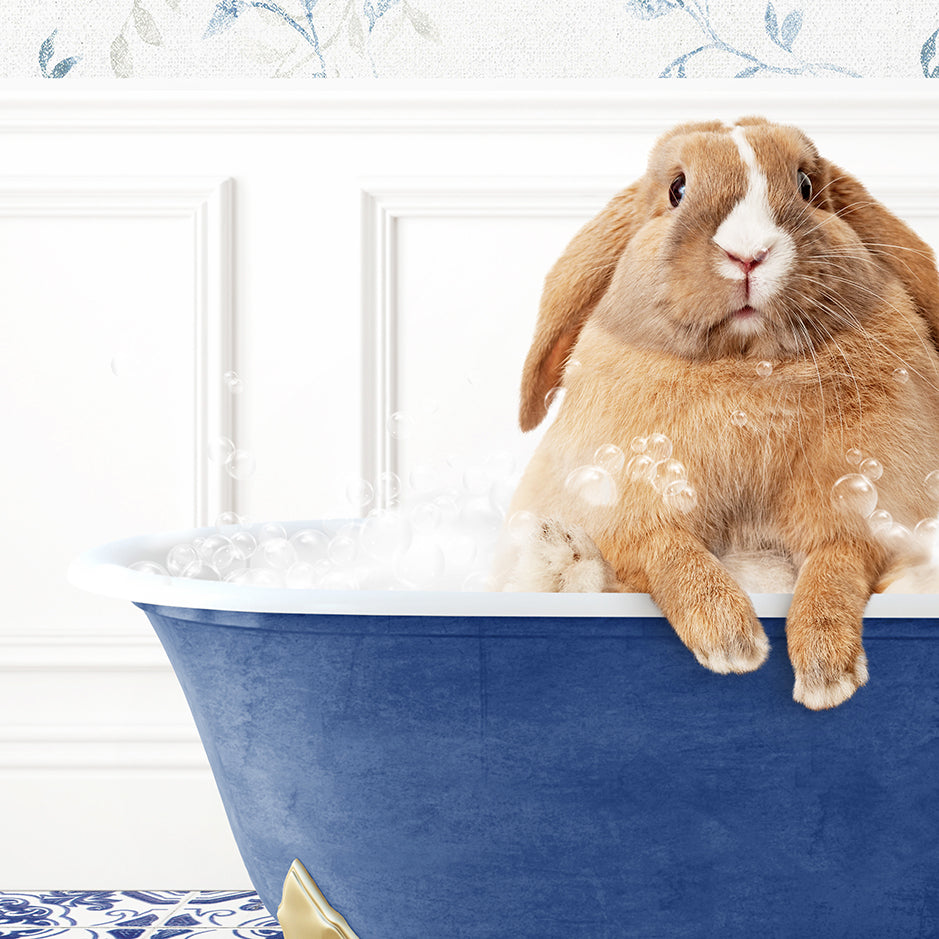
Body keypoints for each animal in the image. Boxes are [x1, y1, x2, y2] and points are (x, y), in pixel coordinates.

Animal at [504, 117, 939, 708]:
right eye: (677, 189)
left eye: (806, 186)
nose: (748, 254)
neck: (746, 369)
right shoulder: (629, 507)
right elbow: (668, 550)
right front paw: (732, 643)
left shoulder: (860, 512)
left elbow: (835, 567)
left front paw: (826, 675)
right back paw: (560, 553)